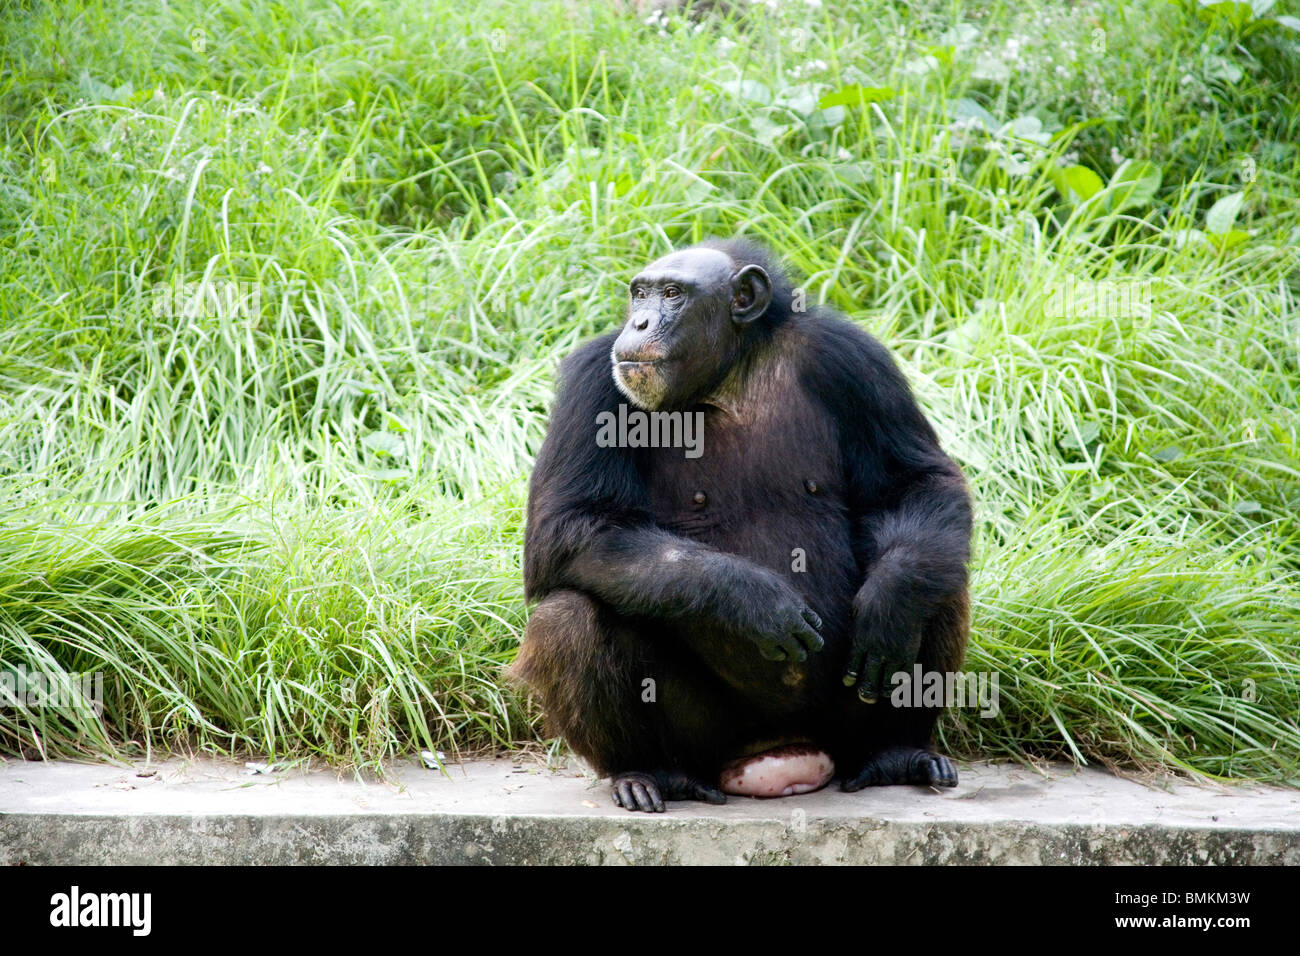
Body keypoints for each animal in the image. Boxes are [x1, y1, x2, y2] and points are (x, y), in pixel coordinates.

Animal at [512, 235, 972, 811]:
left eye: (672, 294)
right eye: (640, 293)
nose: (639, 322)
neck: (730, 377)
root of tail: (782, 758)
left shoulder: (857, 361)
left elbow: (914, 482)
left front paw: (889, 601)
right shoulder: (590, 384)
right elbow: (570, 525)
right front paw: (750, 598)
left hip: (837, 725)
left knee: (935, 575)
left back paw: (894, 751)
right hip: (707, 739)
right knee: (567, 616)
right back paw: (649, 773)